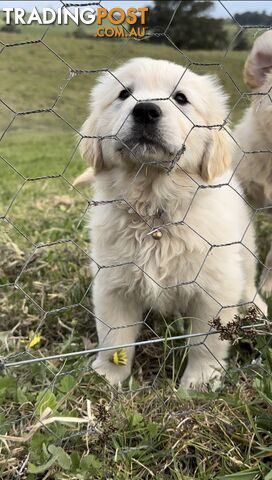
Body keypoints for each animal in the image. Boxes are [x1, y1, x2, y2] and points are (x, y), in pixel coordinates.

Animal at [76, 57, 266, 386]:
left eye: (181, 98)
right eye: (124, 94)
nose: (146, 110)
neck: (156, 212)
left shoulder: (214, 289)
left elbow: (206, 342)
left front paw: (200, 381)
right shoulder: (112, 284)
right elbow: (115, 338)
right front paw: (107, 377)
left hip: (244, 250)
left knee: (246, 282)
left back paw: (258, 307)